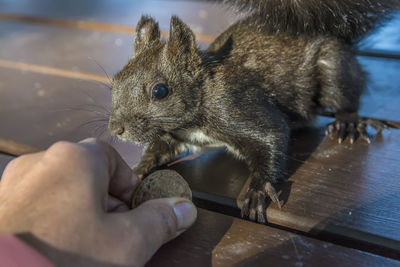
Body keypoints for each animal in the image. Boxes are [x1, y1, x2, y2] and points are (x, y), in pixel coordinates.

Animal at [108, 0, 400, 224]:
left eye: (160, 91)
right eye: (115, 81)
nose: (116, 128)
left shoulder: (235, 107)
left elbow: (272, 134)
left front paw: (258, 190)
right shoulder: (175, 135)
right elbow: (159, 149)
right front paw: (138, 169)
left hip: (332, 70)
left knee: (346, 93)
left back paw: (348, 122)